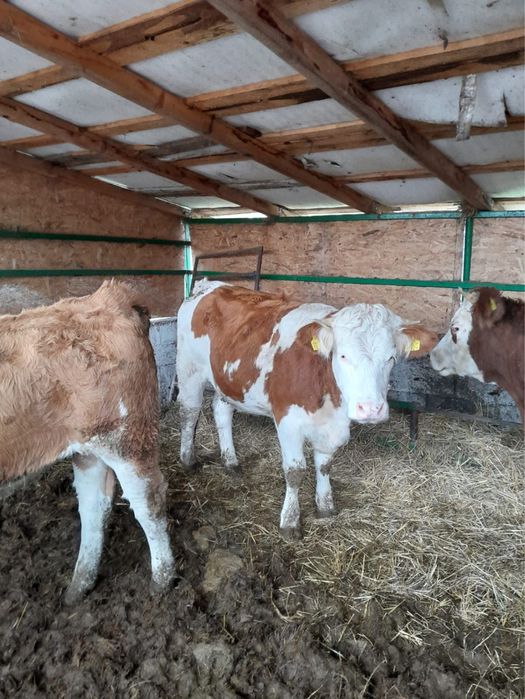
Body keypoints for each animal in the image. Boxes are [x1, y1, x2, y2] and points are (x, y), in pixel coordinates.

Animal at [0, 281, 175, 603]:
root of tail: (109, 297)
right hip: (89, 447)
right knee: (94, 505)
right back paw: (79, 586)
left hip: (125, 440)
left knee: (148, 502)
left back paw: (162, 580)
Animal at [176, 281, 437, 538]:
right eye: (343, 356)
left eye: (391, 358)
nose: (371, 409)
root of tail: (209, 285)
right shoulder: (287, 420)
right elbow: (295, 471)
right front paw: (290, 521)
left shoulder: (331, 426)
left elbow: (324, 465)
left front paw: (325, 505)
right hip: (189, 371)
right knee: (189, 413)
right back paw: (188, 459)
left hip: (228, 382)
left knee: (221, 413)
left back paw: (230, 461)